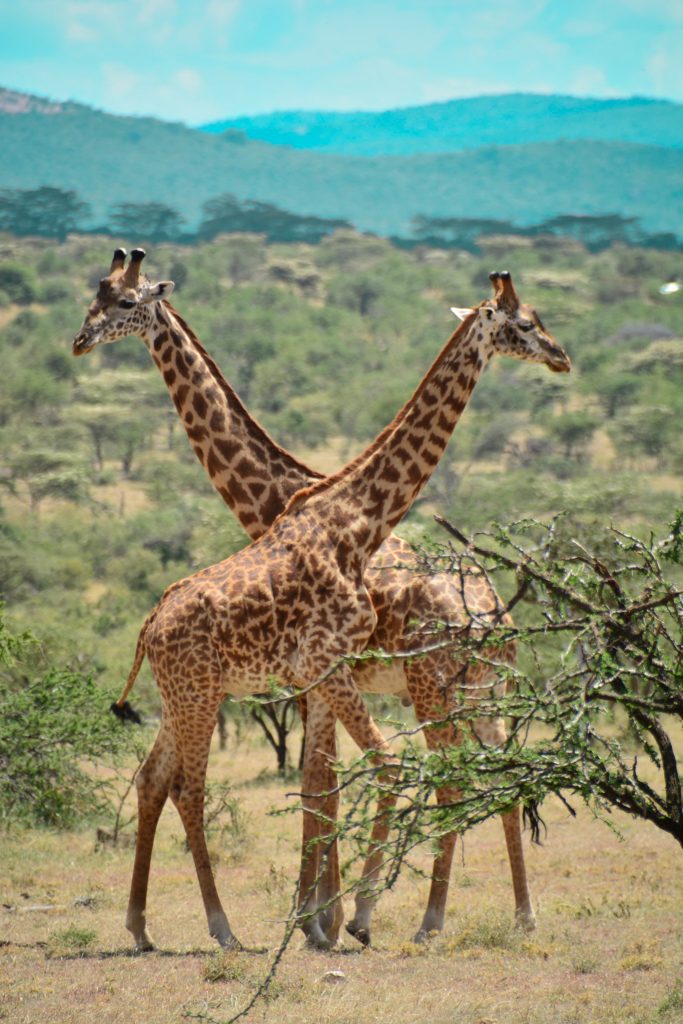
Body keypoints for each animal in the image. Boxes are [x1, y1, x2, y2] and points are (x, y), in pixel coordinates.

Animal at [72, 249, 569, 950]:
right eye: (98, 299)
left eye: (121, 303)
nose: (560, 356)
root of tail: (495, 612)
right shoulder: (313, 674)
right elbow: (322, 784)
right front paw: (320, 916)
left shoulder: (319, 674)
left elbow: (321, 784)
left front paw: (321, 917)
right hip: (451, 690)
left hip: (439, 686)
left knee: (462, 776)